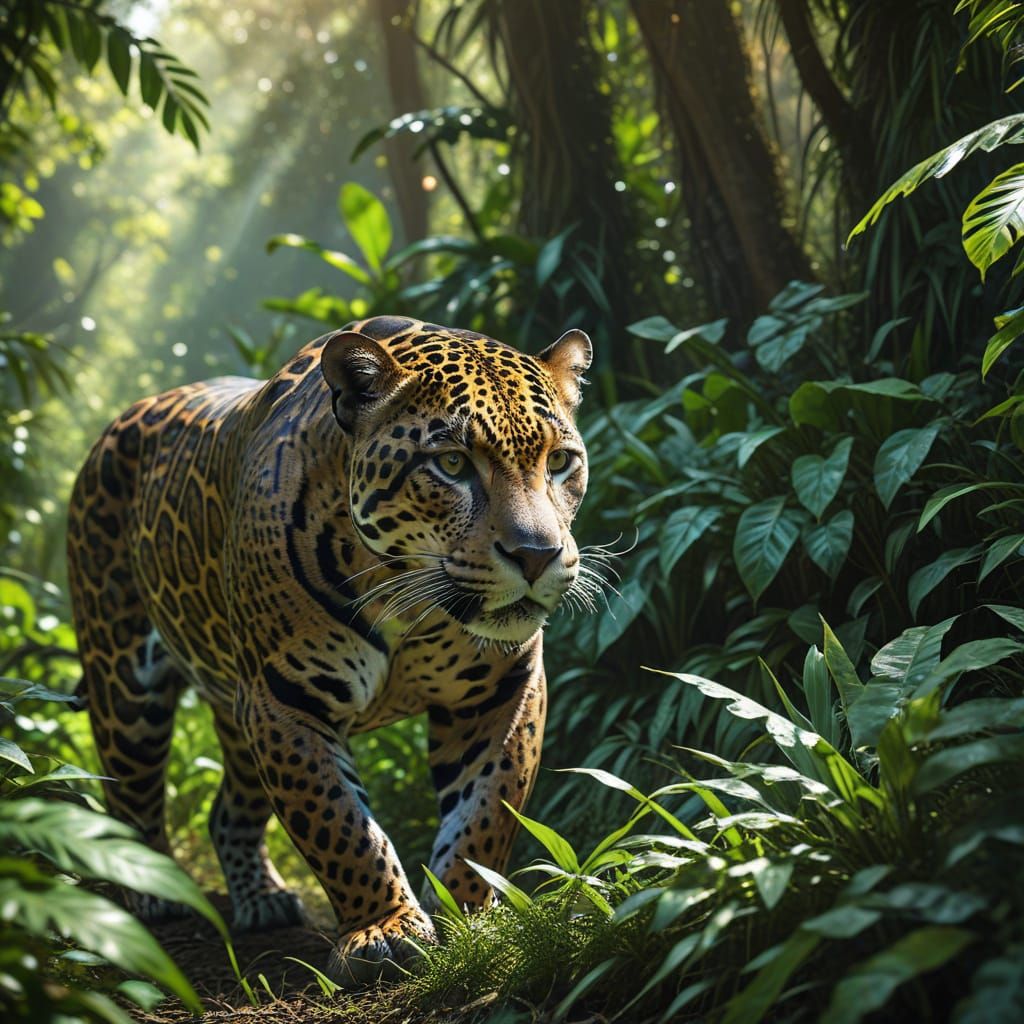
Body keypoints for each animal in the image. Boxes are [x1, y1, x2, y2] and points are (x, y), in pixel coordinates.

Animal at [66, 315, 593, 987]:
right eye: (451, 463)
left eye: (560, 462)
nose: (537, 555)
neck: (407, 599)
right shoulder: (286, 700)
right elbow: (339, 825)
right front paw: (385, 930)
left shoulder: (501, 690)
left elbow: (485, 813)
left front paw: (468, 919)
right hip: (127, 684)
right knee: (129, 791)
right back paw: (147, 889)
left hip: (235, 709)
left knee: (228, 809)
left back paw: (262, 899)